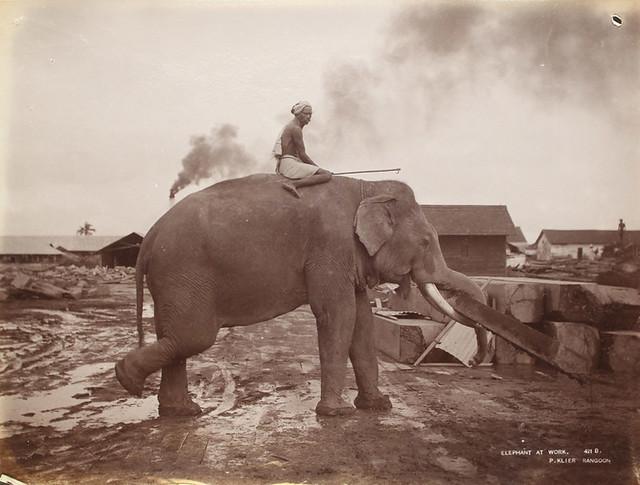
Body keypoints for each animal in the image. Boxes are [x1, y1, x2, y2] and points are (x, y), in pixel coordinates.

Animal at [115, 174, 488, 416]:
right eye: (425, 242)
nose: (473, 362)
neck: (366, 189)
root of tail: (149, 237)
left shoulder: (347, 256)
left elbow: (362, 321)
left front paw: (378, 407)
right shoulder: (330, 246)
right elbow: (337, 315)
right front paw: (337, 414)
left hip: (172, 280)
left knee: (174, 336)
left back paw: (180, 411)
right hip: (183, 273)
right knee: (193, 336)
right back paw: (129, 380)